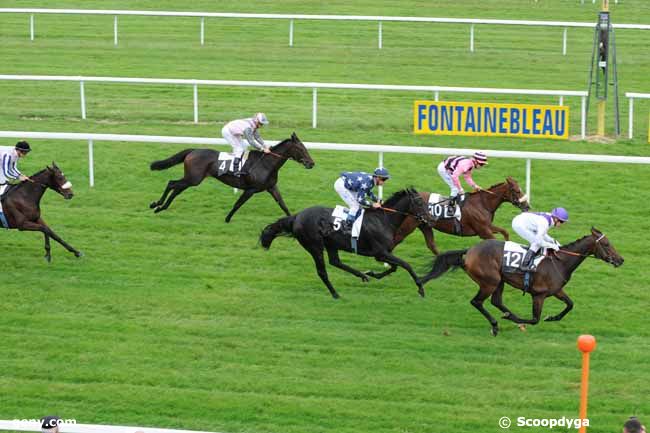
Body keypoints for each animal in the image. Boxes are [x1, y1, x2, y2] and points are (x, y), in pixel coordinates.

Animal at [151, 132, 316, 221]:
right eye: (301, 149)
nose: (311, 163)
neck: (266, 164)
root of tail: (193, 151)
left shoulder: (271, 187)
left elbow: (283, 204)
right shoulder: (251, 189)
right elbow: (238, 204)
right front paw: (227, 219)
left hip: (191, 179)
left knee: (176, 188)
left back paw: (161, 207)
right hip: (194, 179)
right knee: (172, 183)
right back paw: (156, 205)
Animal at [362, 176, 528, 280]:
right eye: (517, 191)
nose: (527, 206)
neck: (483, 203)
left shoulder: (486, 227)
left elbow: (505, 232)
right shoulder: (483, 230)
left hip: (425, 225)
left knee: (432, 245)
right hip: (408, 227)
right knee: (395, 240)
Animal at [418, 228, 620, 336]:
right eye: (607, 244)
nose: (621, 260)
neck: (559, 261)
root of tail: (469, 251)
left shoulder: (556, 291)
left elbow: (570, 304)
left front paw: (553, 317)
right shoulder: (539, 295)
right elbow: (535, 319)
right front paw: (523, 320)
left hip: (499, 281)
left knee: (496, 301)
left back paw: (507, 316)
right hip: (490, 281)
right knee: (477, 302)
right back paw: (496, 324)